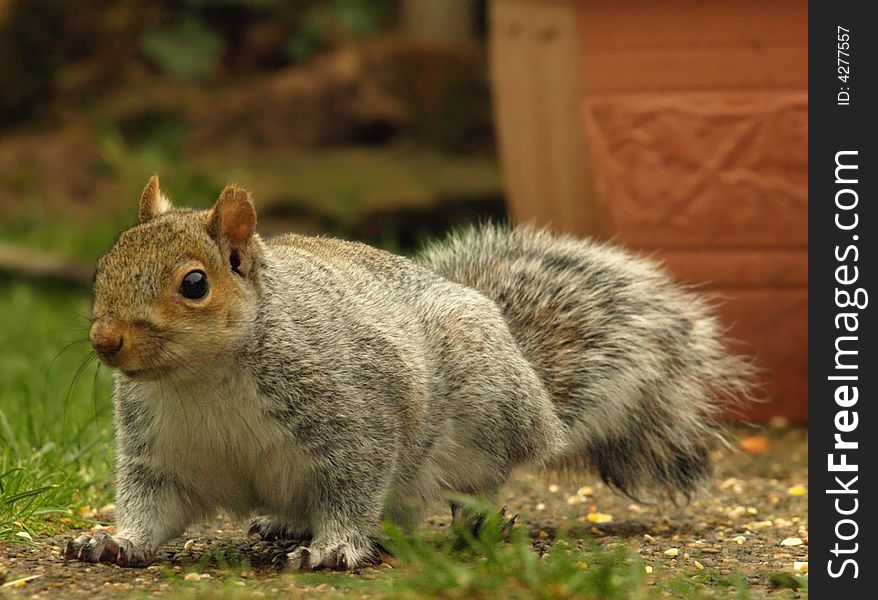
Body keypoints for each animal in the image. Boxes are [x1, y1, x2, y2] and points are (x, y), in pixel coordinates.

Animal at [67, 176, 756, 568]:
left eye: (194, 284)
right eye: (103, 264)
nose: (105, 341)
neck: (202, 379)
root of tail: (535, 391)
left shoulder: (353, 415)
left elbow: (353, 484)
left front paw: (336, 547)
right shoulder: (160, 454)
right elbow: (152, 506)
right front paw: (114, 542)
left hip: (484, 420)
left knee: (474, 482)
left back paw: (471, 522)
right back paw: (282, 523)